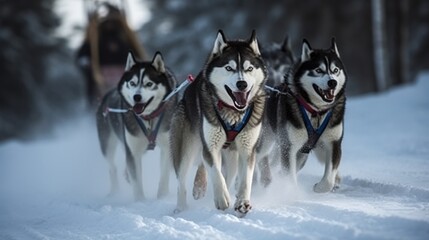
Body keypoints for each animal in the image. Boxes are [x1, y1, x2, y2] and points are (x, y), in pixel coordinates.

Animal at [96, 51, 176, 201]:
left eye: (149, 84)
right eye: (132, 83)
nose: (136, 97)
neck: (148, 118)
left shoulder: (167, 146)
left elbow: (164, 174)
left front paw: (162, 198)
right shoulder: (133, 151)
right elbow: (137, 181)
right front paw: (140, 202)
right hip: (107, 145)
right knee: (112, 167)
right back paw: (114, 193)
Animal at [170, 30, 264, 216]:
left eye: (249, 68)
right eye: (229, 68)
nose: (242, 84)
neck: (233, 112)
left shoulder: (248, 148)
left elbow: (246, 178)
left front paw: (242, 202)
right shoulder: (210, 147)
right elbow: (215, 172)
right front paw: (221, 198)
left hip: (232, 156)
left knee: (230, 174)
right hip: (186, 149)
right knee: (181, 182)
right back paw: (181, 208)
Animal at [258, 38, 344, 192]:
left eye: (335, 70)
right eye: (318, 70)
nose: (332, 82)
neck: (316, 111)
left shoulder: (333, 143)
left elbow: (329, 179)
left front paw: (320, 187)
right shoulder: (289, 147)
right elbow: (289, 176)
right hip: (265, 141)